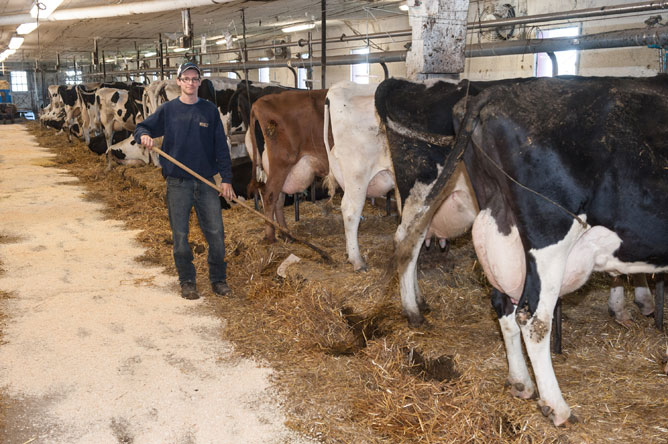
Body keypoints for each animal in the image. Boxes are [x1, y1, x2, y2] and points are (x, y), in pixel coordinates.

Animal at [248, 89, 332, 243]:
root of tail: (259, 102)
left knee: (278, 198)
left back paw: (285, 233)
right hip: (282, 162)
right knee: (269, 194)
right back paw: (270, 235)